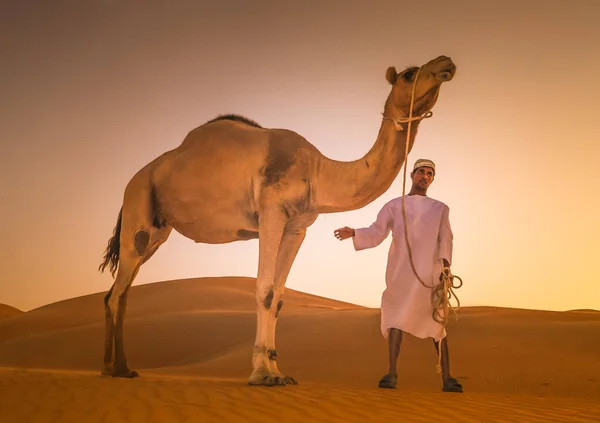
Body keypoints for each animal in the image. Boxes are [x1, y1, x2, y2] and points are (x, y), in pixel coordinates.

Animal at [97, 54, 454, 386]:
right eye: (409, 73)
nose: (445, 62)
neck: (318, 172)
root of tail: (136, 179)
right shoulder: (270, 214)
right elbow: (265, 289)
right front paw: (261, 374)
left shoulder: (297, 226)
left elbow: (279, 297)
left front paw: (277, 371)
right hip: (138, 210)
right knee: (118, 290)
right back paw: (117, 369)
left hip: (159, 230)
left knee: (119, 293)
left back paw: (114, 368)